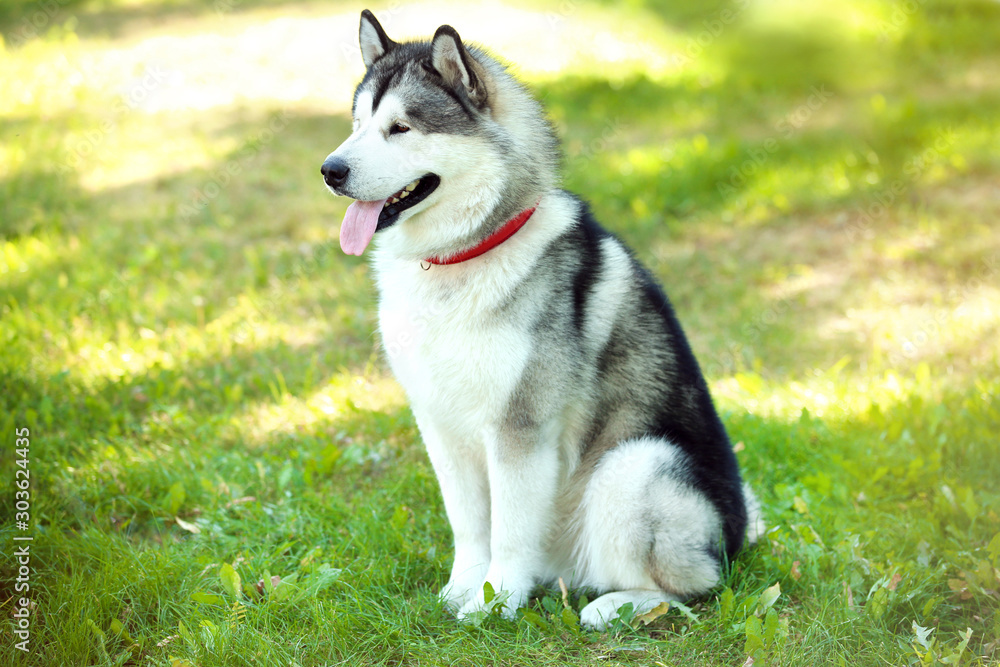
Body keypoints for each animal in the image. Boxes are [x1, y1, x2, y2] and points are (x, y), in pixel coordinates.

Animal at [320, 10, 764, 632]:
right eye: (358, 125)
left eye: (401, 128)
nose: (330, 170)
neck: (460, 258)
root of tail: (740, 533)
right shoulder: (438, 422)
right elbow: (470, 524)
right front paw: (461, 590)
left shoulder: (519, 426)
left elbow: (508, 530)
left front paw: (495, 601)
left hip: (634, 465)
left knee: (693, 590)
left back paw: (616, 606)